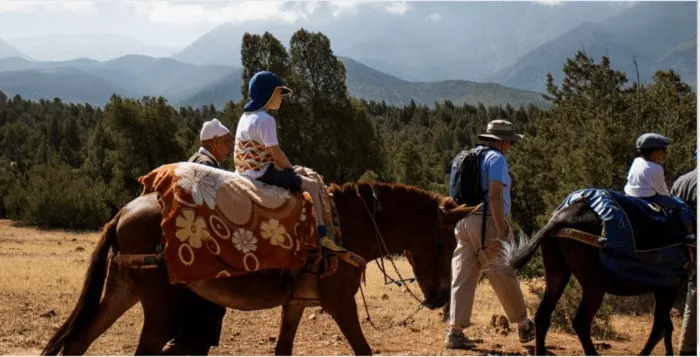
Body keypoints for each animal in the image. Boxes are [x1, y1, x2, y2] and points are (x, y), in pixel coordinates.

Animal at [41, 182, 474, 354]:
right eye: (449, 244)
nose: (440, 300)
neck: (344, 225)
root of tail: (125, 212)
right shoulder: (339, 303)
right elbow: (363, 349)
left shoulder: (296, 304)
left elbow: (283, 349)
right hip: (159, 303)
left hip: (123, 290)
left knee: (78, 342)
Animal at [504, 199, 688, 354]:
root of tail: (559, 218)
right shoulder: (668, 289)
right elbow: (660, 328)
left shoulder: (664, 290)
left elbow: (666, 327)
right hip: (594, 286)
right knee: (581, 322)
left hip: (557, 274)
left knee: (543, 316)